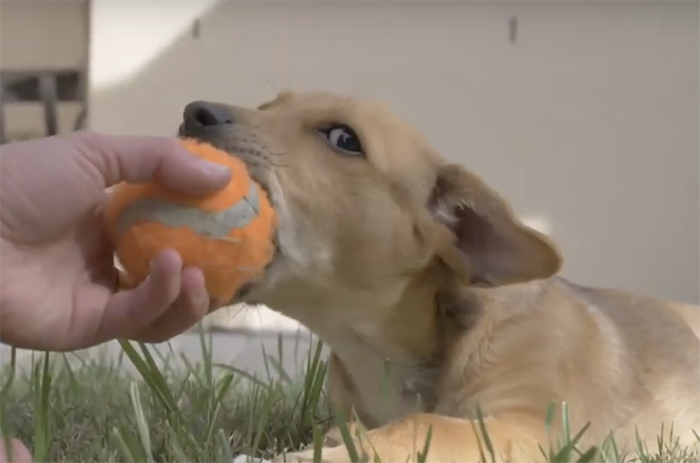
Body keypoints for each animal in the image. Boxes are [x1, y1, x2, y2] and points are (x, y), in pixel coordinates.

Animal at [174, 91, 700, 463]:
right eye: (268, 106)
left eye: (343, 138)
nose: (194, 112)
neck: (382, 354)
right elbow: (350, 433)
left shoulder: (537, 426)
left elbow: (424, 426)